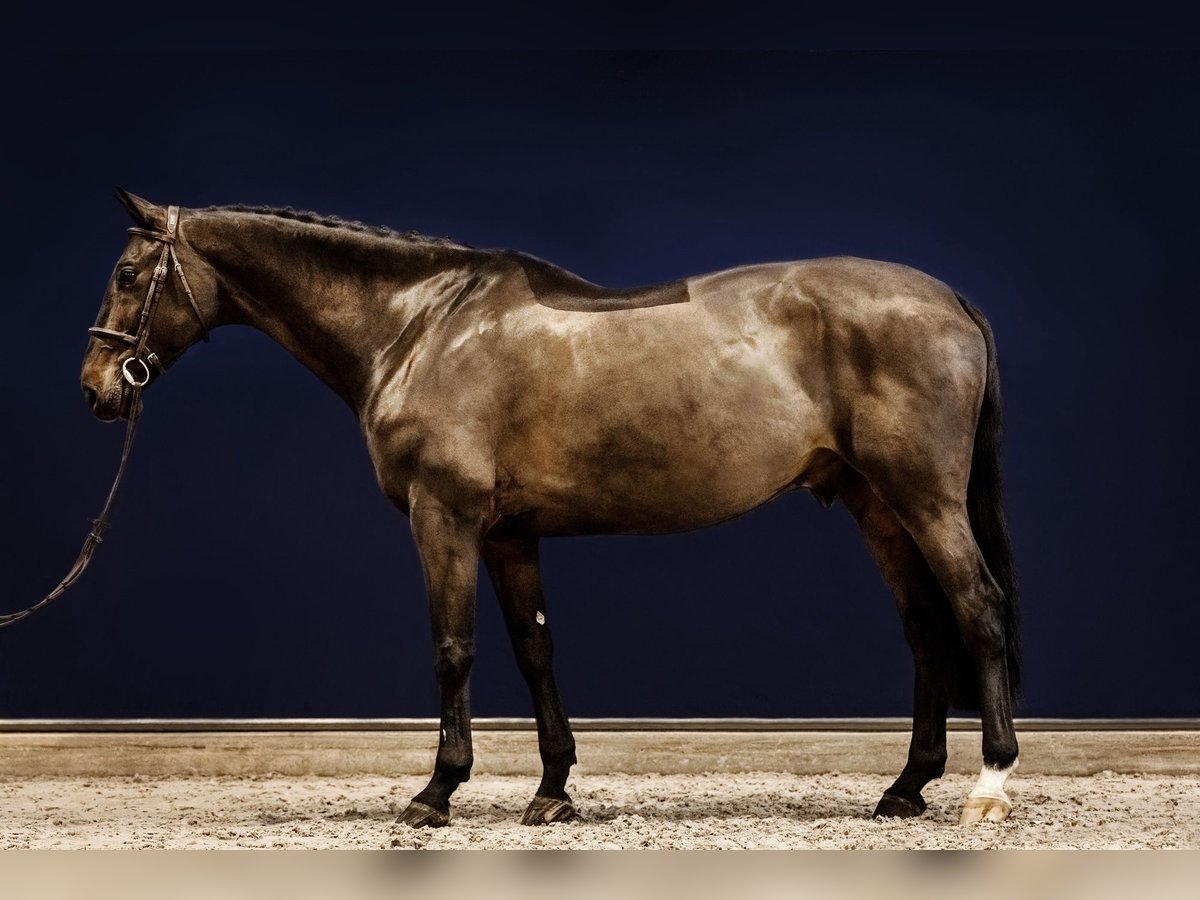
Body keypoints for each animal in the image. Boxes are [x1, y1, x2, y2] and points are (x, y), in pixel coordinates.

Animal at [82, 190, 1022, 830]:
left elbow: (453, 650)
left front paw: (437, 791)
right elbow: (536, 651)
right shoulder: (509, 536)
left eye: (127, 273)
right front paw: (553, 790)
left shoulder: (444, 520)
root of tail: (952, 299)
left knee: (976, 608)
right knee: (926, 628)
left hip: (923, 497)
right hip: (876, 505)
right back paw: (905, 788)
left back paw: (989, 785)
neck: (421, 326)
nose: (95, 389)